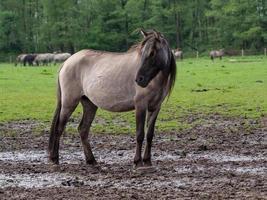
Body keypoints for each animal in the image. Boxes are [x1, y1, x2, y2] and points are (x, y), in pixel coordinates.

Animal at [48, 29, 178, 172]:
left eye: (152, 52)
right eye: (142, 53)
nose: (139, 79)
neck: (155, 80)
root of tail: (66, 62)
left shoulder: (155, 107)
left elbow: (150, 135)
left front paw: (148, 161)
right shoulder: (140, 106)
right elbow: (140, 134)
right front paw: (138, 163)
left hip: (89, 104)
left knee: (83, 130)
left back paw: (92, 161)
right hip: (69, 103)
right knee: (59, 128)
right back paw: (55, 159)